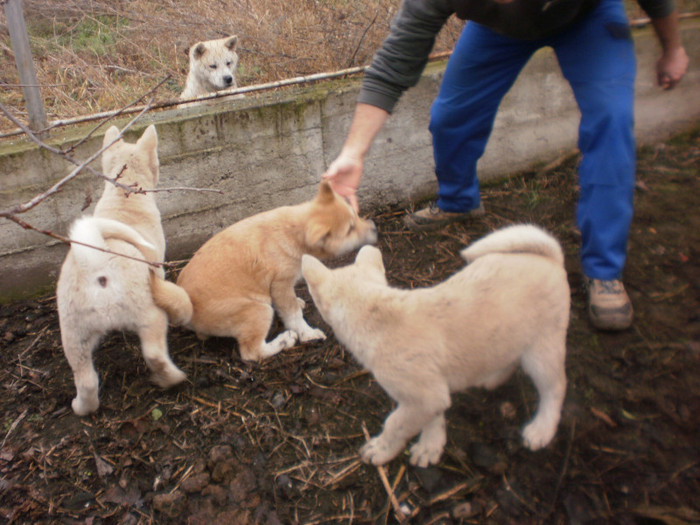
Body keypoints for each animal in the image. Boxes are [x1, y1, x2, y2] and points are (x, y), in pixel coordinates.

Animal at [56, 125, 190, 416]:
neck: (124, 191)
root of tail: (95, 263)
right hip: (149, 316)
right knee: (154, 354)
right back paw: (172, 379)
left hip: (73, 335)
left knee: (86, 381)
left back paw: (82, 407)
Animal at [170, 180, 378, 360]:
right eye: (350, 229)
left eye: (356, 215)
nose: (374, 227)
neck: (291, 231)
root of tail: (189, 311)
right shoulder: (280, 285)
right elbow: (293, 314)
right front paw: (307, 334)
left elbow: (292, 305)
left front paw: (299, 303)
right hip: (258, 310)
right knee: (251, 352)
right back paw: (284, 340)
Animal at [300, 225, 568, 466]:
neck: (376, 312)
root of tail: (551, 258)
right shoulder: (432, 394)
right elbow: (433, 418)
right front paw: (431, 446)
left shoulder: (422, 397)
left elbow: (396, 424)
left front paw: (381, 450)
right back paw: (492, 379)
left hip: (542, 350)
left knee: (555, 388)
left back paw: (541, 429)